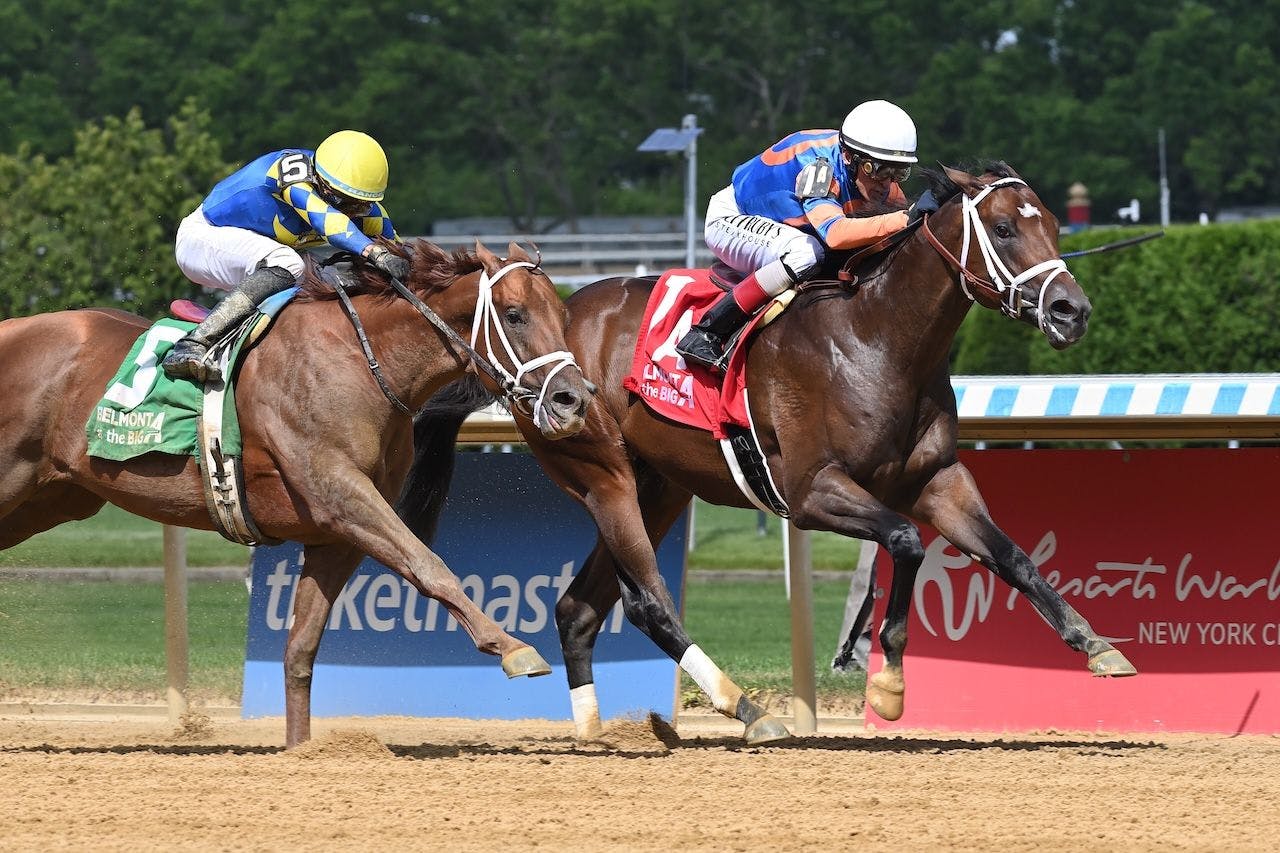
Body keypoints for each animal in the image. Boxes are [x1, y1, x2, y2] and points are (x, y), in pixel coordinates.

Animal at [0, 239, 593, 742]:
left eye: (564, 317)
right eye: (514, 315)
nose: (573, 398)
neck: (362, 360)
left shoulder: (338, 532)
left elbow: (301, 647)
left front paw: (299, 749)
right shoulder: (341, 493)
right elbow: (428, 565)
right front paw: (513, 647)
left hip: (49, 499)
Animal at [401, 163, 1141, 737]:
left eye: (1054, 222)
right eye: (1007, 229)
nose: (1073, 310)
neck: (876, 340)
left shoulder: (937, 481)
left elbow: (1011, 555)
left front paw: (1097, 645)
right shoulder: (813, 491)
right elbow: (905, 542)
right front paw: (889, 685)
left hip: (661, 486)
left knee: (580, 607)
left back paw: (592, 728)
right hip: (600, 474)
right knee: (644, 600)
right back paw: (745, 707)